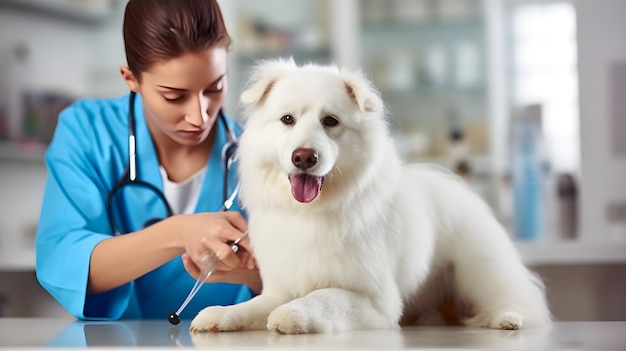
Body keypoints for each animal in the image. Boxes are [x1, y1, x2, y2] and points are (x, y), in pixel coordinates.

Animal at [188, 58, 548, 336]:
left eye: (330, 121)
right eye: (287, 120)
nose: (304, 157)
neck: (310, 213)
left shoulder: (372, 298)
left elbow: (321, 297)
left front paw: (292, 315)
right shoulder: (281, 286)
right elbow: (252, 306)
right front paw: (218, 314)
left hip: (477, 273)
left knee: (518, 297)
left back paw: (508, 318)